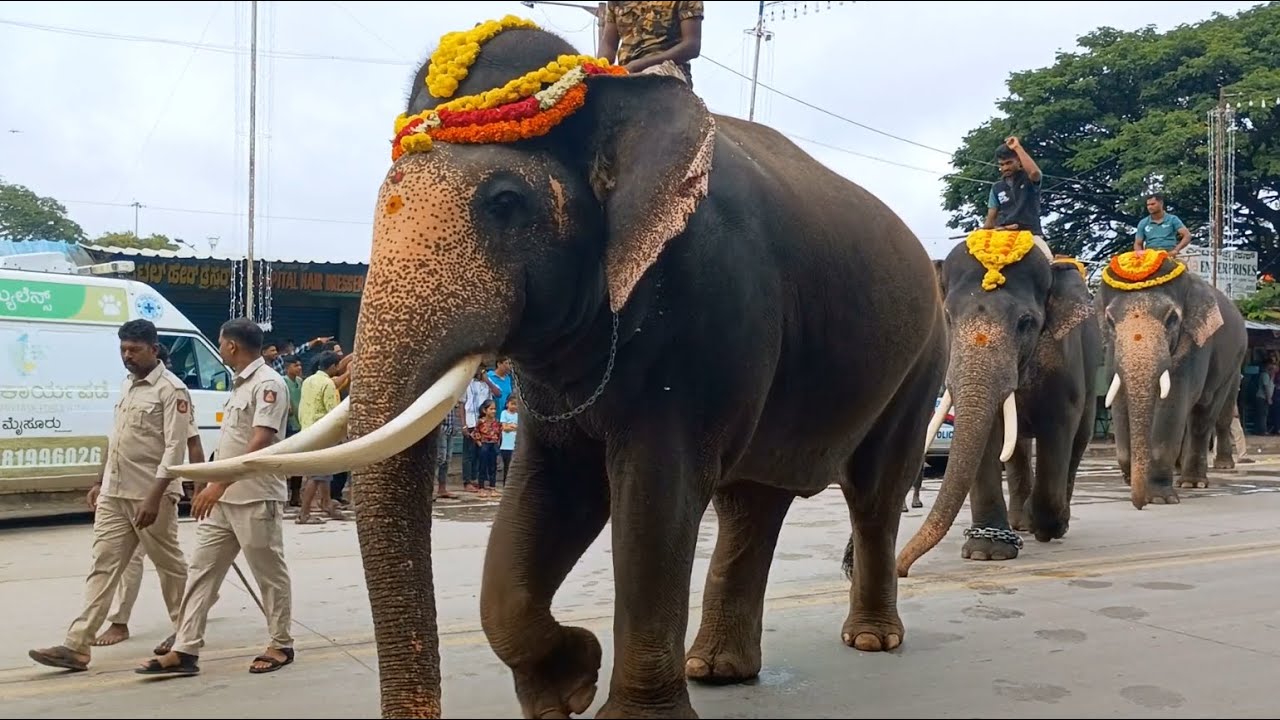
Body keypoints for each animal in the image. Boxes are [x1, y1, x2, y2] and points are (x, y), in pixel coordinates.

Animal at [167, 17, 947, 720]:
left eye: (506, 203)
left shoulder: (709, 311)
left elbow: (654, 498)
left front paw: (618, 708)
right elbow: (549, 494)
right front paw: (567, 686)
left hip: (921, 363)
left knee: (874, 491)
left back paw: (870, 640)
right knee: (752, 501)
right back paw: (717, 668)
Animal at [894, 234, 1101, 577]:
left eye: (1026, 322)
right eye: (948, 317)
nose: (900, 569)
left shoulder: (1062, 361)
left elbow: (1059, 426)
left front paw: (1044, 526)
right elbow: (990, 437)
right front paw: (986, 552)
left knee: (1078, 439)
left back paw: (1052, 522)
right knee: (1017, 448)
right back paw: (1019, 523)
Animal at [1093, 251, 1247, 508]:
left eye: (1172, 318)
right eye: (1110, 321)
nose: (1139, 505)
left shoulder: (1195, 344)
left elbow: (1173, 400)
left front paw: (1159, 498)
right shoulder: (1112, 351)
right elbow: (1119, 401)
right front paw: (1131, 478)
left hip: (1233, 365)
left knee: (1205, 416)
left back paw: (1195, 481)